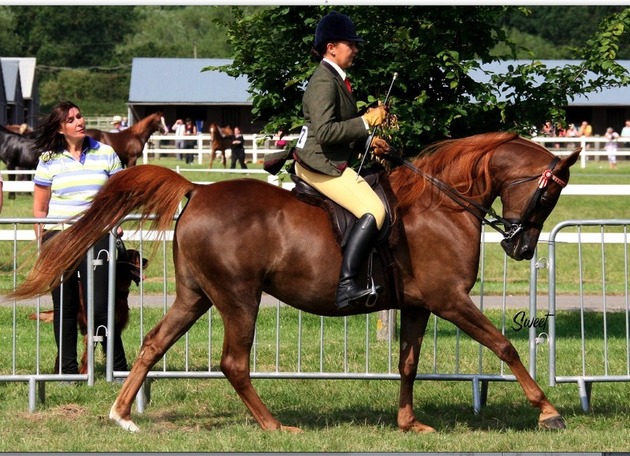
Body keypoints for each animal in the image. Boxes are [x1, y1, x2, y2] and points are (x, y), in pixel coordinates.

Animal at [8, 133, 584, 434]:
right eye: (548, 194)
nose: (521, 248)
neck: (442, 203)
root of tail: (198, 189)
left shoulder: (420, 304)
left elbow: (408, 363)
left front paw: (408, 423)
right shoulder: (451, 300)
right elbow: (505, 346)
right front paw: (548, 411)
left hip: (195, 297)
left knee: (153, 343)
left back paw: (123, 415)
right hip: (239, 298)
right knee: (233, 363)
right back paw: (273, 426)